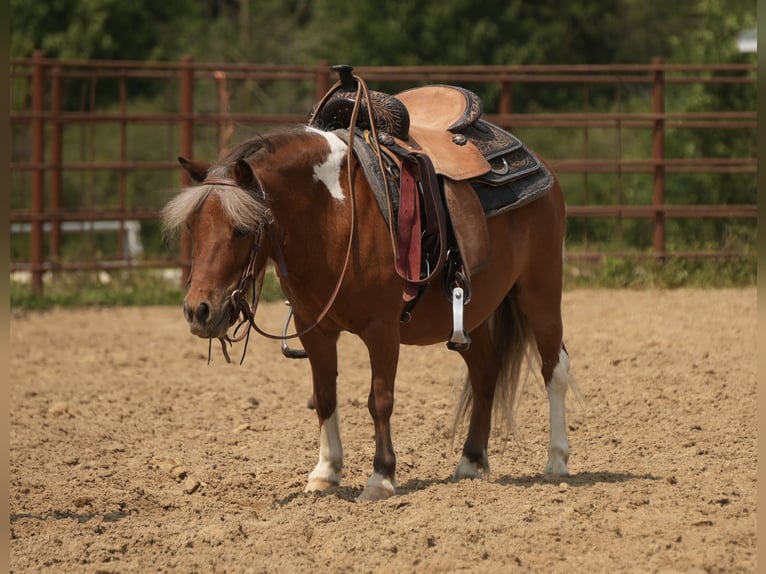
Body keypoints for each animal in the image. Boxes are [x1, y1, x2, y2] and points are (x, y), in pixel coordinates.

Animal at [161, 114, 576, 501]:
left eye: (242, 229)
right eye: (193, 227)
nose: (199, 311)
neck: (335, 215)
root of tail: (542, 166)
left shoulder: (382, 330)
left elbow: (380, 400)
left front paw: (381, 477)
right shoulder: (317, 331)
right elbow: (324, 397)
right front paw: (325, 473)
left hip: (539, 292)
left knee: (554, 368)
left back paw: (556, 461)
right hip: (471, 317)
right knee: (486, 372)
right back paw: (471, 461)